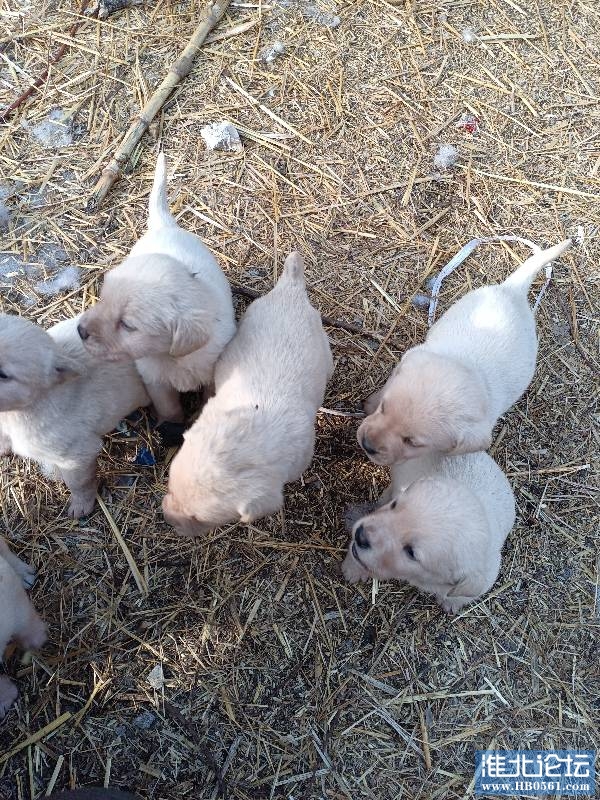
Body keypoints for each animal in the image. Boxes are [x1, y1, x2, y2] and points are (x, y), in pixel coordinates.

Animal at [77, 153, 236, 422]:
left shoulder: (211, 375)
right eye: (103, 300)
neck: (171, 359)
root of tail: (164, 226)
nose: (80, 330)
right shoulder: (155, 382)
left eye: (127, 325)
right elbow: (170, 411)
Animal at [342, 451, 515, 613]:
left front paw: (451, 604)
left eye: (411, 552)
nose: (360, 535)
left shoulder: (485, 577)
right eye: (395, 505)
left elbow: (462, 595)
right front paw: (352, 569)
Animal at [358, 239, 572, 465]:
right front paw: (370, 403)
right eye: (383, 408)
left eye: (412, 442)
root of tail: (513, 291)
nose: (367, 445)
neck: (468, 365)